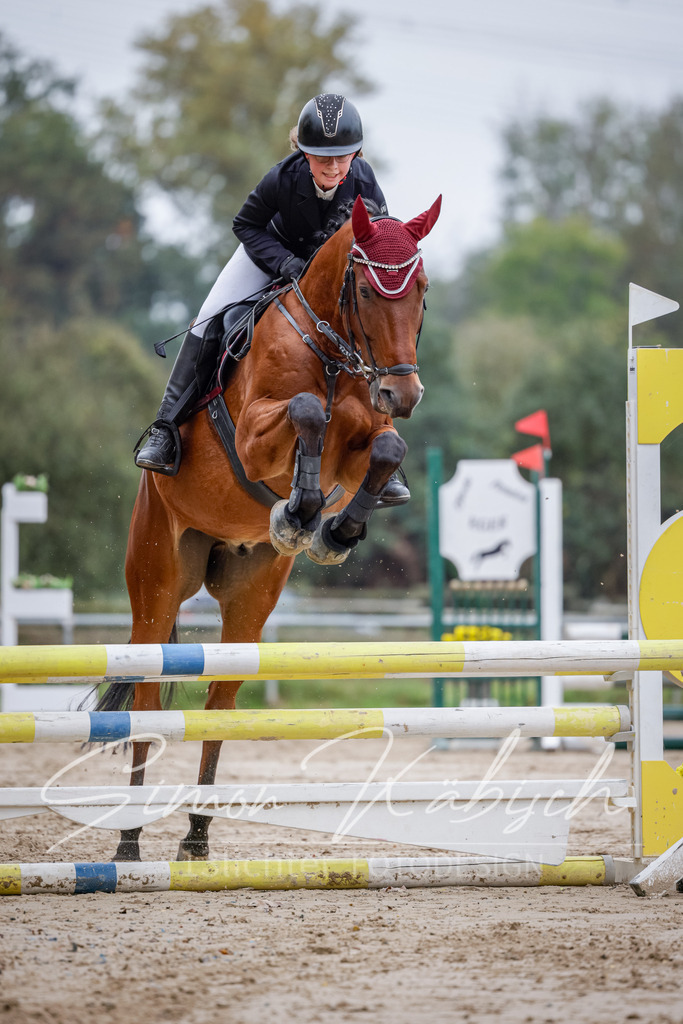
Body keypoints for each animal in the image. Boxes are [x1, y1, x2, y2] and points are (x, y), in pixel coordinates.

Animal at [108, 193, 441, 861]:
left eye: (420, 290)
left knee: (220, 702)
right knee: (149, 698)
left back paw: (197, 836)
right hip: (157, 578)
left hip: (251, 596)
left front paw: (330, 531)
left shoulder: (363, 443)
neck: (333, 353)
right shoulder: (255, 437)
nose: (403, 393)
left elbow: (387, 449)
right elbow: (305, 411)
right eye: (364, 291)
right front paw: (300, 512)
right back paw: (130, 840)